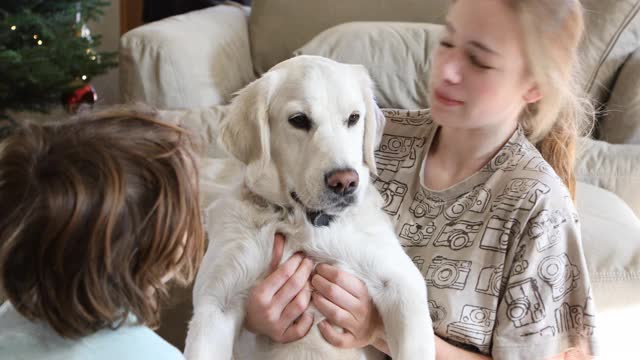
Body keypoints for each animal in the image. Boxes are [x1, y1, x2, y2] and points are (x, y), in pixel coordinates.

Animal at [185, 55, 436, 360]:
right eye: (299, 120)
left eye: (354, 118)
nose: (345, 182)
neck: (300, 220)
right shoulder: (215, 303)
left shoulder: (402, 284)